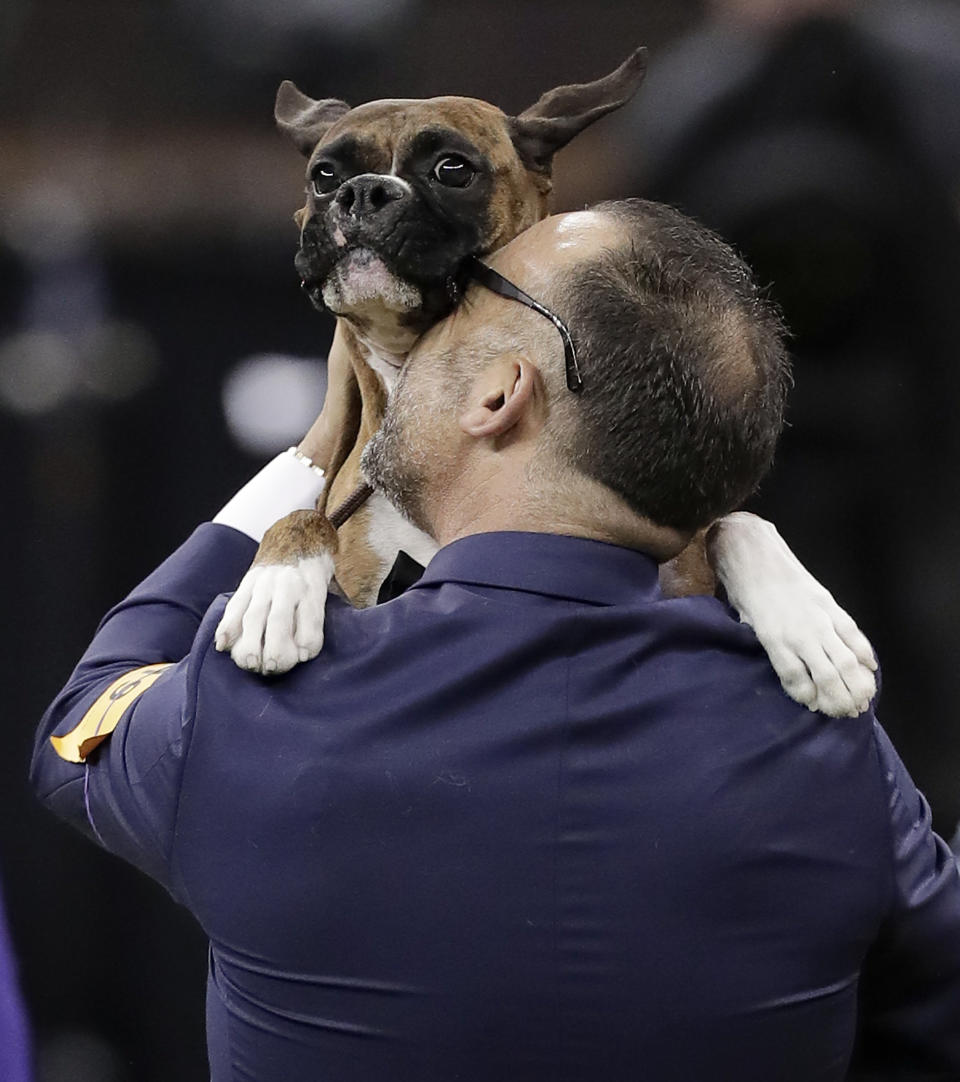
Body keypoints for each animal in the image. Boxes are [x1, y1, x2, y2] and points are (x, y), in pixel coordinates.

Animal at [215, 48, 878, 718]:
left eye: (453, 169)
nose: (361, 192)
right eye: (324, 175)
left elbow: (736, 521)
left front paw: (809, 623)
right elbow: (303, 517)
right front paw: (273, 589)